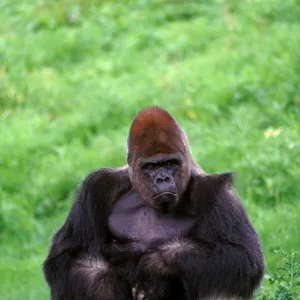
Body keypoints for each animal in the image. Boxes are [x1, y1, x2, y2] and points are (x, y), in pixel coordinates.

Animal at [43, 106, 264, 300]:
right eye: (150, 167)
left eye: (170, 163)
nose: (163, 179)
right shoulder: (97, 187)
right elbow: (66, 258)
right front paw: (106, 284)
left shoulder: (216, 192)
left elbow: (241, 257)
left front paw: (154, 264)